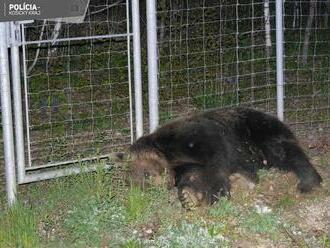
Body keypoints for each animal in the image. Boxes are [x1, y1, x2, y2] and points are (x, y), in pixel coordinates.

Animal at [129, 107, 322, 209]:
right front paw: (188, 196)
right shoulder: (185, 164)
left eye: (145, 174)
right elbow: (194, 175)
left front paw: (217, 195)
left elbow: (216, 162)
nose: (144, 188)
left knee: (286, 152)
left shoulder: (196, 138)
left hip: (260, 131)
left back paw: (308, 182)